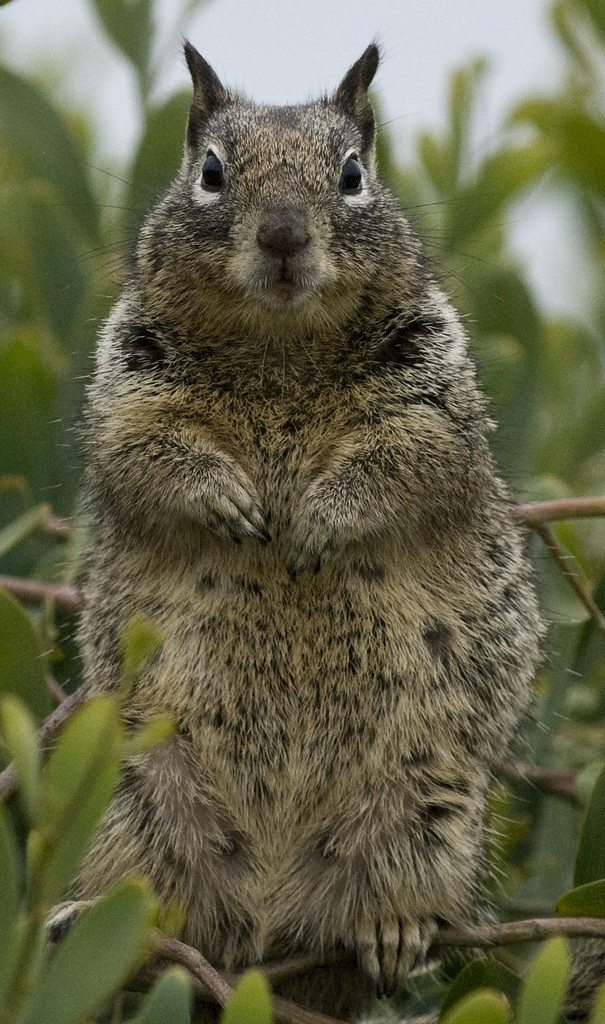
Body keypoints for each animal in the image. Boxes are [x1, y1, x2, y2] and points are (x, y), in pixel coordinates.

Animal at [73, 41, 545, 1020]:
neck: (280, 351)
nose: (284, 237)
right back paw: (123, 932)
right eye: (211, 172)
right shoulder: (126, 389)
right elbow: (145, 457)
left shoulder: (432, 404)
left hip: (423, 814)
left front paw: (321, 521)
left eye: (354, 175)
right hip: (133, 801)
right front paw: (228, 502)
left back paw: (388, 931)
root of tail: (262, 927)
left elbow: (402, 466)